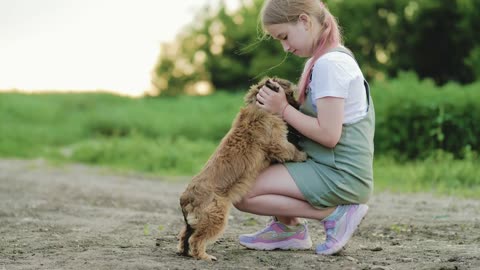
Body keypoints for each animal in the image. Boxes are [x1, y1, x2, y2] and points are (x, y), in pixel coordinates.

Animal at [177, 77, 308, 260]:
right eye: (290, 94)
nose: (299, 106)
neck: (259, 106)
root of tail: (186, 198)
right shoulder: (278, 143)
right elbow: (291, 150)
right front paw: (302, 155)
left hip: (194, 223)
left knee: (185, 236)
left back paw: (185, 252)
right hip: (215, 217)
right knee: (195, 239)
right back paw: (204, 256)